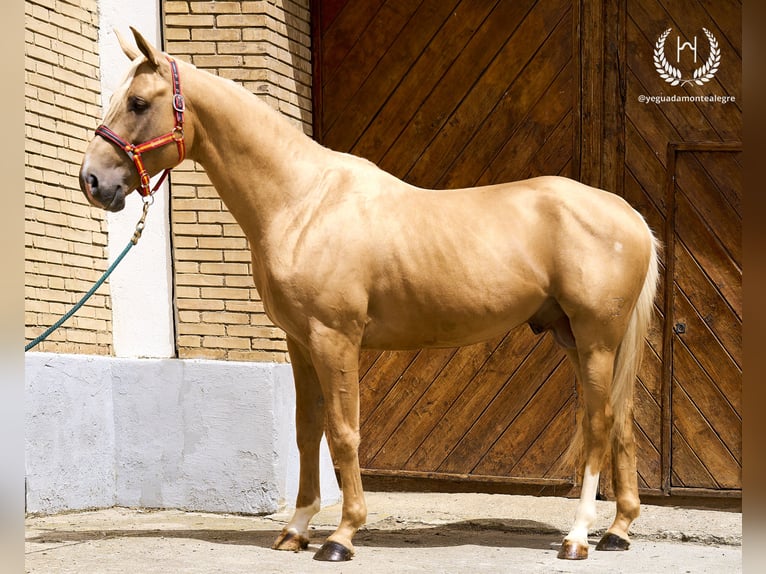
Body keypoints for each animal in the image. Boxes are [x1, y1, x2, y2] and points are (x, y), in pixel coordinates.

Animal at [82, 29, 660, 564]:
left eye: (139, 102)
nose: (93, 181)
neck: (303, 201)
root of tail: (628, 214)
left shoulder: (334, 338)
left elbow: (343, 432)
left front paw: (341, 535)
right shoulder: (300, 343)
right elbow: (306, 430)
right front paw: (297, 528)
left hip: (595, 339)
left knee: (598, 424)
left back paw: (579, 536)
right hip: (579, 339)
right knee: (621, 420)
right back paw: (618, 530)